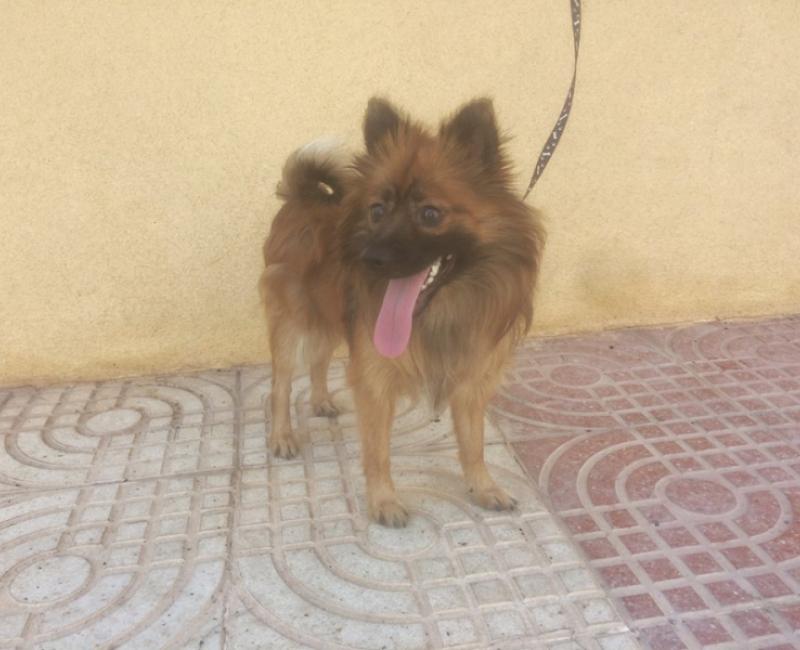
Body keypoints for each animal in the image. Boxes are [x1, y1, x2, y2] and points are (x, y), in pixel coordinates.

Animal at [261, 97, 544, 527]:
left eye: (430, 214)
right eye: (377, 210)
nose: (370, 258)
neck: (442, 309)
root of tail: (303, 196)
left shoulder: (470, 380)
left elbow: (473, 444)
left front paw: (484, 487)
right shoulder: (375, 377)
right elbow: (378, 451)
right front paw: (383, 501)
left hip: (330, 315)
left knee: (320, 360)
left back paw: (322, 401)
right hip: (292, 322)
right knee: (280, 385)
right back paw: (282, 436)